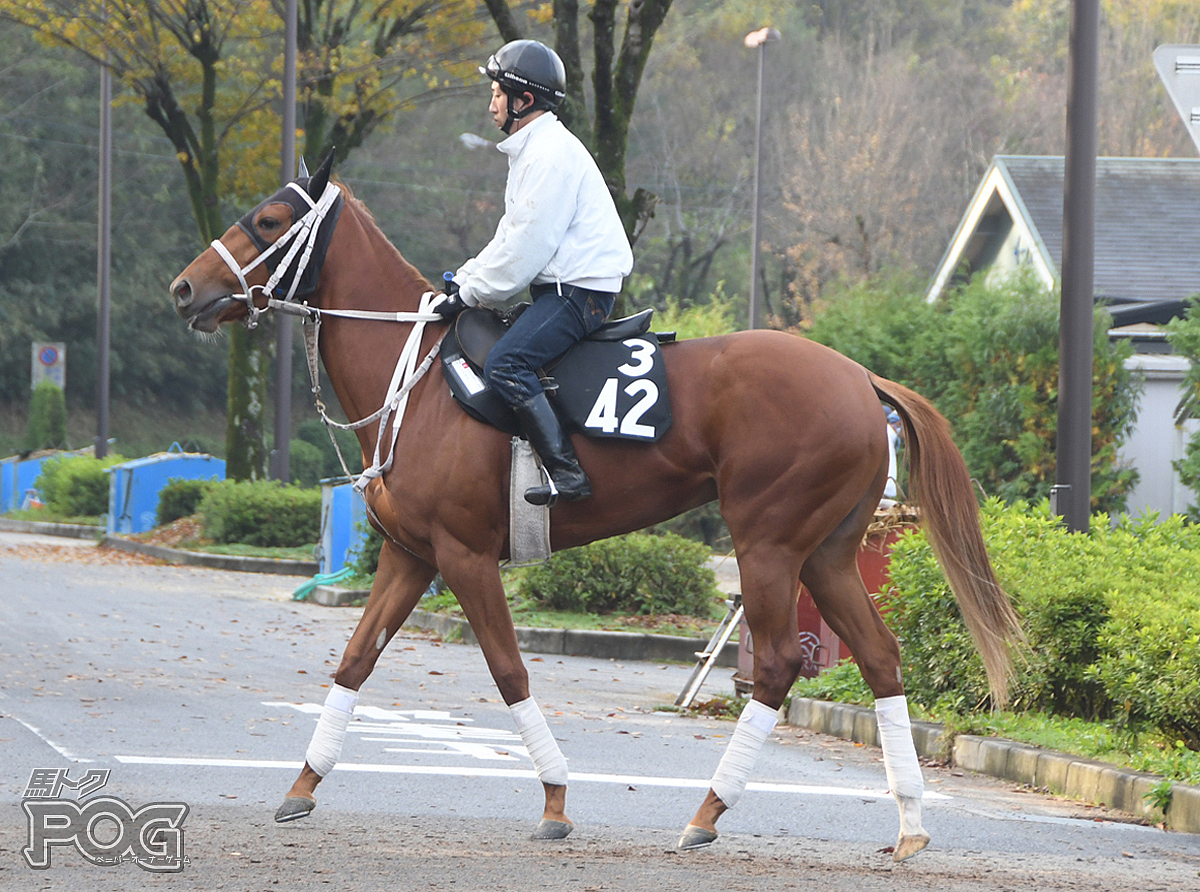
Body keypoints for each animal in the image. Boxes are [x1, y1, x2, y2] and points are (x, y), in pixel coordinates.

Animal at [169, 157, 1017, 859]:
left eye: (268, 220)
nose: (185, 288)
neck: (417, 378)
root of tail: (860, 377)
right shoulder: (410, 557)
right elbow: (354, 660)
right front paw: (301, 786)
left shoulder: (464, 557)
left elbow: (509, 671)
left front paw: (554, 798)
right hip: (828, 555)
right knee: (879, 657)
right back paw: (909, 821)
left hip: (769, 546)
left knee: (777, 664)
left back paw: (708, 812)